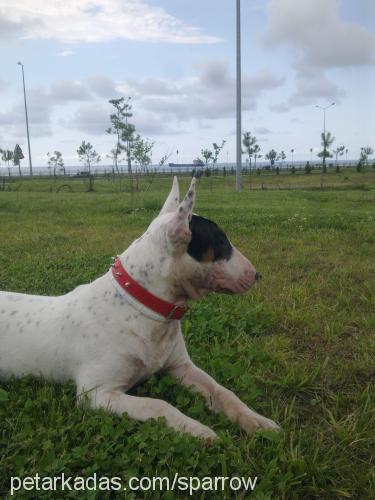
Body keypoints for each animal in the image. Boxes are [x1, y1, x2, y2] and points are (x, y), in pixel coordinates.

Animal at [0, 178, 280, 440]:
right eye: (221, 242)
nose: (257, 275)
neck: (143, 307)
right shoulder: (96, 393)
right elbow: (158, 405)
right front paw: (198, 430)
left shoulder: (181, 367)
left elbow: (222, 391)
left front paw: (256, 421)